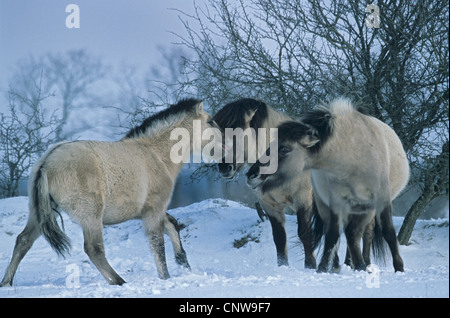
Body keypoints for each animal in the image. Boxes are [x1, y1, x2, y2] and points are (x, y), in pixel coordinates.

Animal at [213, 99, 322, 268]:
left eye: (239, 134)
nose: (225, 167)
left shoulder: (304, 201)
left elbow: (305, 235)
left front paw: (310, 267)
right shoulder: (269, 206)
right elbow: (279, 238)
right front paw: (283, 267)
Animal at [248, 98, 410, 272]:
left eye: (284, 149)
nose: (251, 175)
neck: (353, 156)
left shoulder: (380, 200)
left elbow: (388, 232)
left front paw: (399, 268)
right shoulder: (336, 202)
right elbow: (333, 235)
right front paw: (323, 268)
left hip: (365, 208)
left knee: (360, 233)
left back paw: (361, 264)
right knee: (348, 233)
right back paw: (352, 265)